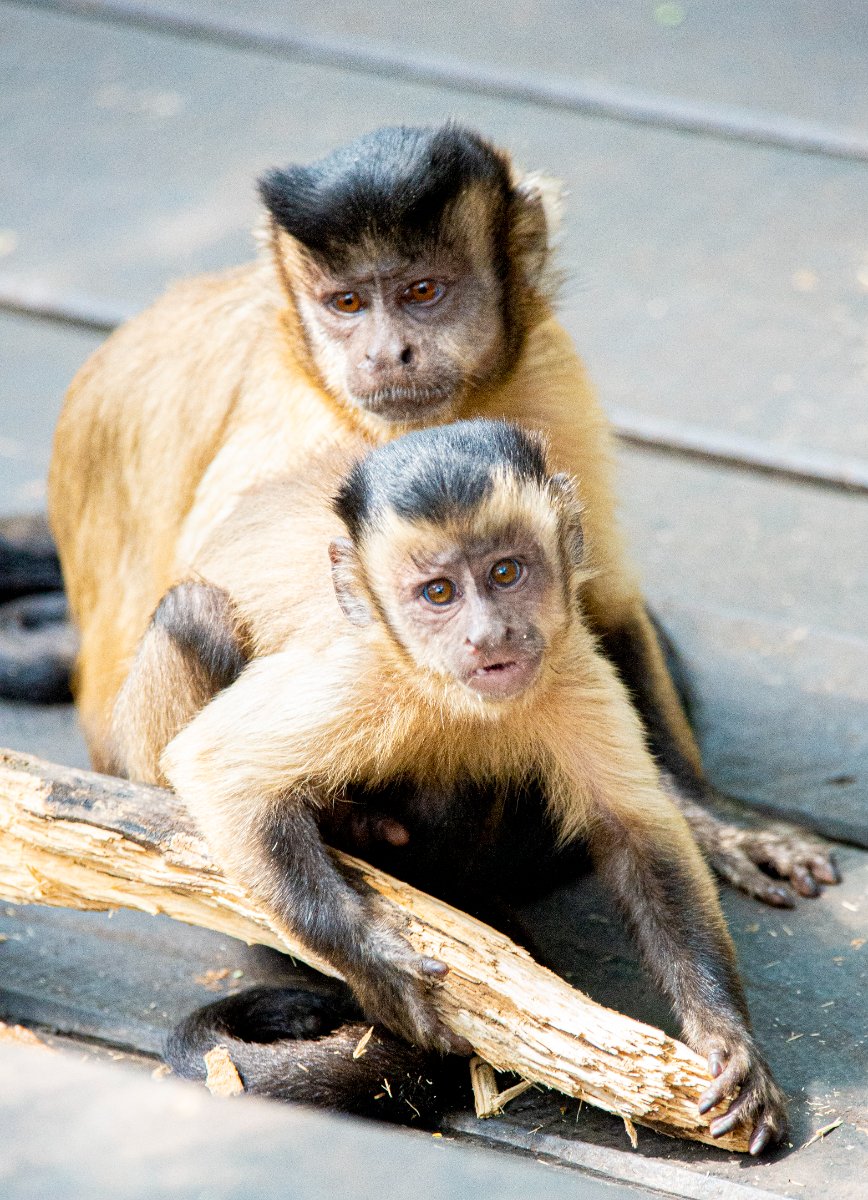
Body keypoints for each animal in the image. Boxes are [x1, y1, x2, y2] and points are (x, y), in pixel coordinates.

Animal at [47, 123, 837, 905]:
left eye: (421, 291)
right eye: (346, 305)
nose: (384, 353)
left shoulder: (549, 369)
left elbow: (602, 607)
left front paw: (714, 825)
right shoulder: (296, 416)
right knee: (198, 612)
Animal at [110, 419, 787, 1154]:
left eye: (506, 572)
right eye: (438, 593)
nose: (488, 634)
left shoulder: (573, 665)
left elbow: (637, 834)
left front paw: (726, 1040)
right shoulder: (356, 668)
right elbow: (218, 769)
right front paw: (375, 962)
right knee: (194, 610)